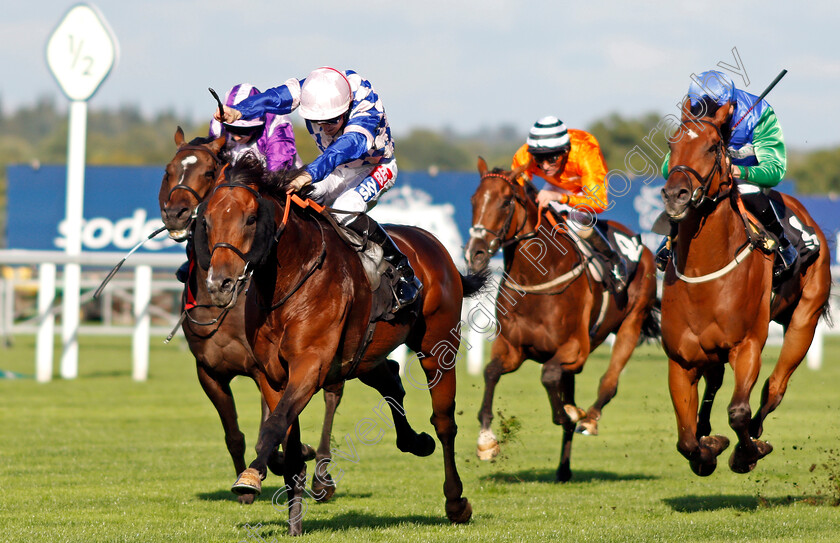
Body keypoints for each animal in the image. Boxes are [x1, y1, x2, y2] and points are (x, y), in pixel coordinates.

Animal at [156, 130, 342, 504]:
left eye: (208, 172)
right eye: (169, 170)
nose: (176, 213)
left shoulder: (262, 368)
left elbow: (270, 428)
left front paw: (288, 458)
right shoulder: (209, 372)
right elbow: (235, 434)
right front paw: (246, 487)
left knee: (332, 396)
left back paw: (322, 477)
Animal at [197, 156, 482, 536]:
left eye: (251, 218)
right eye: (207, 220)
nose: (220, 283)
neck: (290, 278)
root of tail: (432, 244)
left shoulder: (310, 365)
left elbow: (274, 425)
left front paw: (251, 477)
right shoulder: (271, 375)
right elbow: (285, 438)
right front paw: (294, 524)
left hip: (437, 346)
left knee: (444, 421)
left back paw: (455, 501)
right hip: (364, 355)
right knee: (391, 380)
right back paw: (414, 441)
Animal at [462, 159, 660, 482]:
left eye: (505, 202)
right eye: (474, 200)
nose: (475, 253)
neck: (537, 280)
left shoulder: (575, 349)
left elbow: (549, 375)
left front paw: (570, 413)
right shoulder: (512, 348)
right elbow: (491, 372)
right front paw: (486, 441)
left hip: (632, 321)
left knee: (609, 381)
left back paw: (589, 418)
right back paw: (564, 467)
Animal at [664, 101, 832, 476]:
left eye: (713, 146)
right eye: (671, 144)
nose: (675, 195)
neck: (704, 273)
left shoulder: (747, 345)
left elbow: (738, 412)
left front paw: (746, 453)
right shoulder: (681, 358)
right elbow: (684, 440)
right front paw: (707, 447)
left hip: (804, 319)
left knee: (775, 387)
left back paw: (755, 431)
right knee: (714, 382)